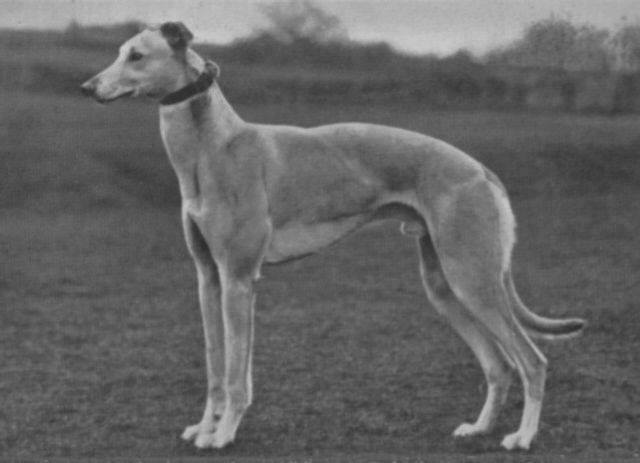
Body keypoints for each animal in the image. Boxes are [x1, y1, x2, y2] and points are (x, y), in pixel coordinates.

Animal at [81, 23, 584, 452]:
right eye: (120, 52)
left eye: (136, 55)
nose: (86, 88)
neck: (215, 146)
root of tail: (481, 170)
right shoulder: (208, 278)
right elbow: (214, 367)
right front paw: (205, 427)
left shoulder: (239, 280)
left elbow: (237, 373)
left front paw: (223, 435)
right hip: (444, 286)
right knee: (499, 365)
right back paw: (479, 429)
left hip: (473, 279)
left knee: (531, 361)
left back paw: (522, 437)